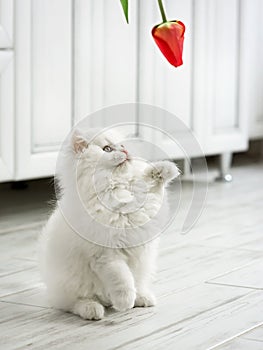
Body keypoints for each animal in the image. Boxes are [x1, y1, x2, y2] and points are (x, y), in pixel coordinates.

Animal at [38, 128, 179, 320]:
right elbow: (122, 279)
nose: (125, 150)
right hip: (71, 285)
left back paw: (143, 298)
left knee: (137, 284)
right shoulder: (105, 255)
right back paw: (94, 310)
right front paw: (124, 303)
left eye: (122, 145)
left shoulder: (148, 207)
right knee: (73, 304)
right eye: (107, 149)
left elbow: (152, 183)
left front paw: (165, 170)